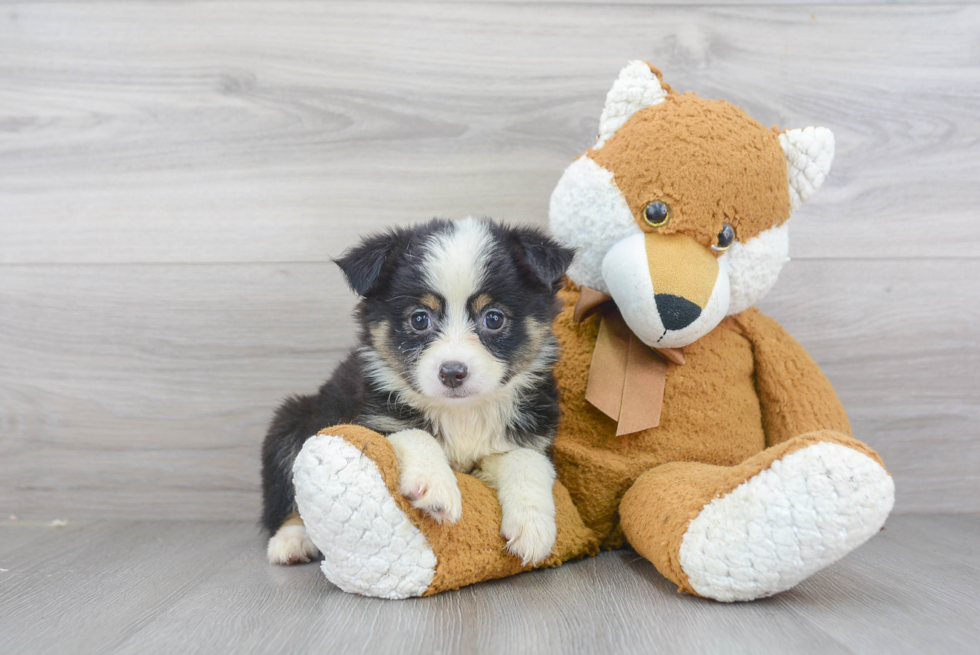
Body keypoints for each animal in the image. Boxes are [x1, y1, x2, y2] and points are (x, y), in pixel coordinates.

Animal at [264, 218, 580, 568]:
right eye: (419, 318)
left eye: (494, 318)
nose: (453, 372)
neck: (461, 412)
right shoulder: (372, 418)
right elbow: (416, 433)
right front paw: (435, 487)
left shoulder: (532, 433)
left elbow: (526, 459)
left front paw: (532, 526)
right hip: (291, 420)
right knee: (289, 497)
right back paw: (292, 541)